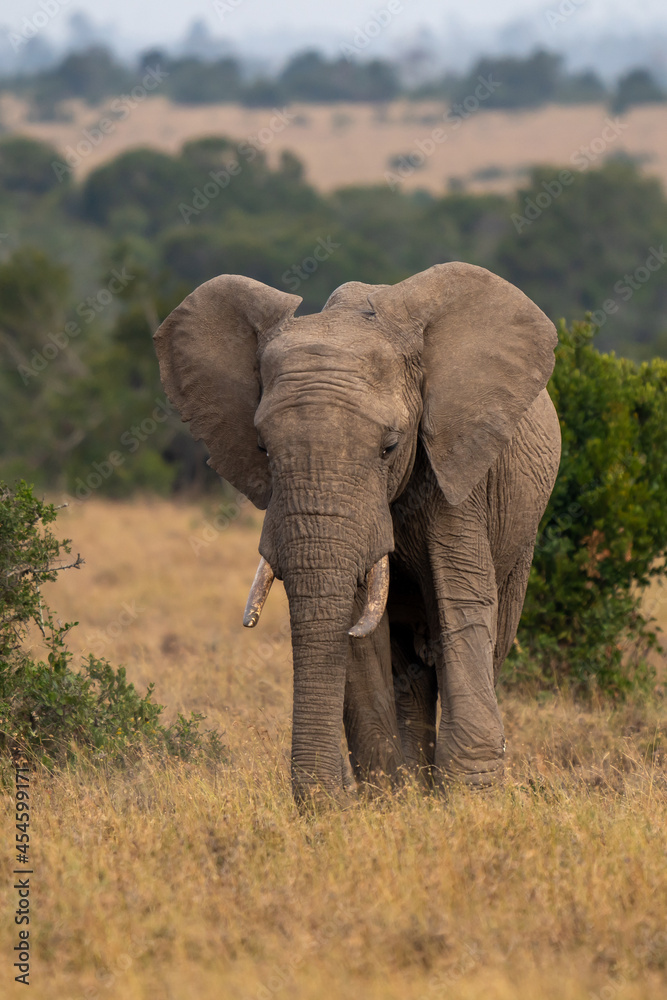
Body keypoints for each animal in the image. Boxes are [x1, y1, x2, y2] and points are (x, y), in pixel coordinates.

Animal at [154, 262, 561, 802]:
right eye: (262, 448)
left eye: (390, 447)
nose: (332, 798)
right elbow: (357, 626)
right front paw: (389, 795)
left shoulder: (459, 469)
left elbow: (461, 601)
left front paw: (469, 794)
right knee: (409, 668)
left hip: (522, 529)